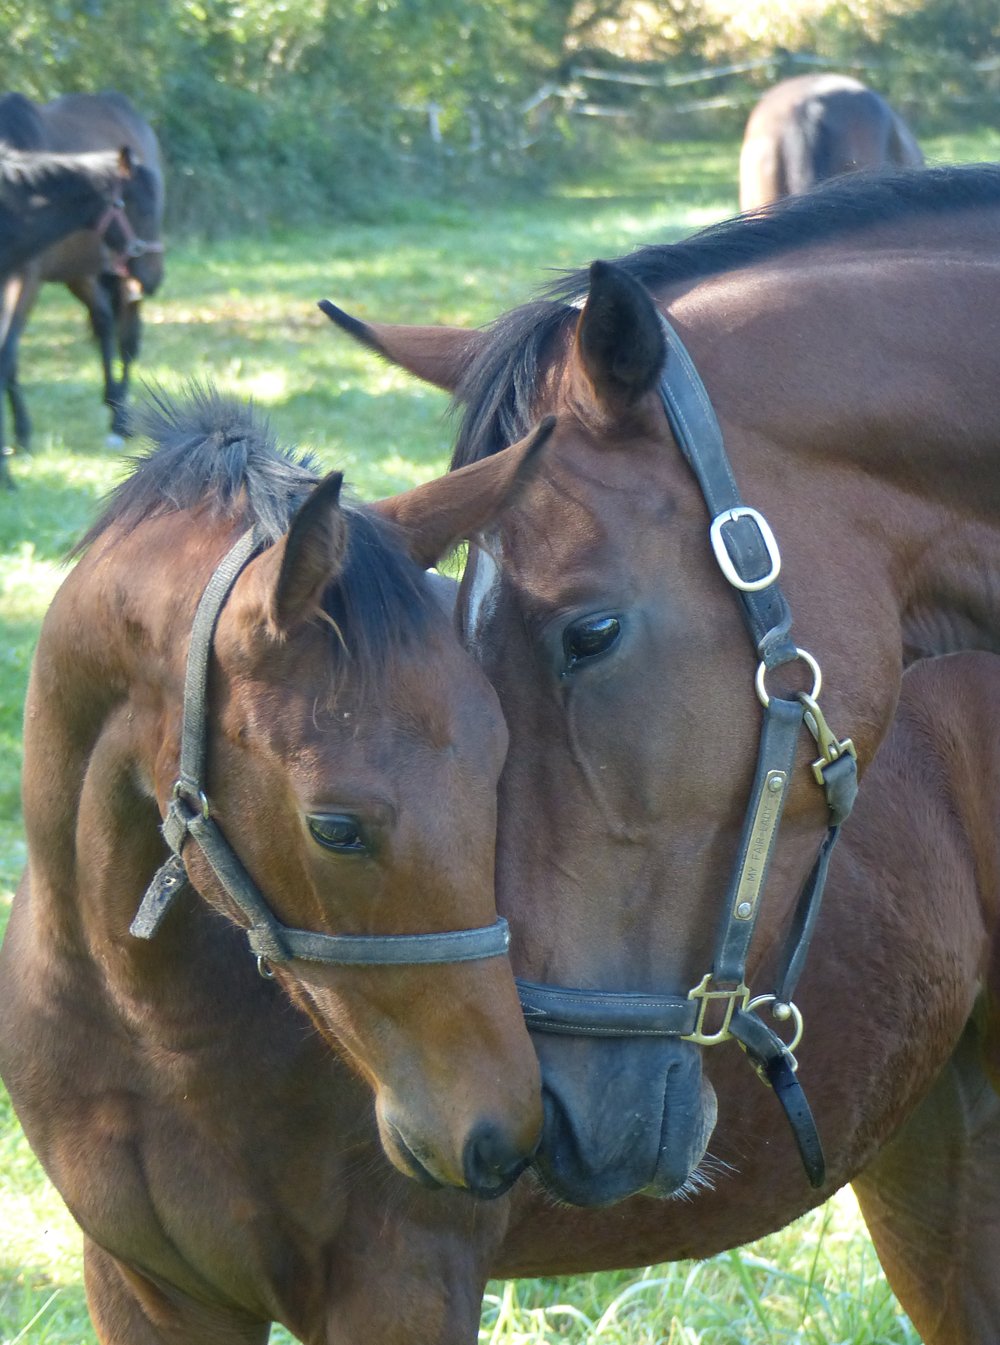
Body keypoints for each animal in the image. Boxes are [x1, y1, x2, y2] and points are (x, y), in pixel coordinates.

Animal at [0, 91, 165, 456]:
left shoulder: (26, 279)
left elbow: (8, 353)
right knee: (105, 325)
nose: (156, 277)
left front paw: (20, 435)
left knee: (126, 339)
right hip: (83, 275)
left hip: (122, 279)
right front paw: (21, 436)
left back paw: (120, 423)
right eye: (143, 209)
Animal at [0, 386, 551, 1343]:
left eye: (500, 764)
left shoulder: (404, 1285)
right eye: (335, 828)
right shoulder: (145, 1290)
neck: (150, 1025)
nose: (503, 1133)